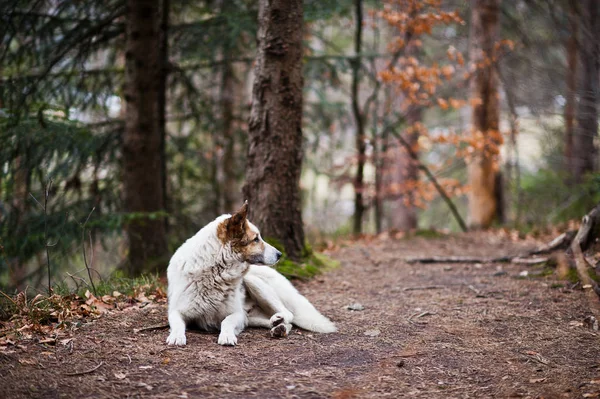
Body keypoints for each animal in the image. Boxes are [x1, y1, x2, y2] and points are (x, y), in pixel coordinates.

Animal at [166, 202, 336, 346]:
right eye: (256, 239)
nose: (280, 254)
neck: (215, 272)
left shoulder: (237, 314)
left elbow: (226, 321)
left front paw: (226, 336)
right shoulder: (176, 310)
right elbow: (177, 323)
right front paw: (176, 336)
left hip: (254, 283)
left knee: (289, 314)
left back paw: (278, 321)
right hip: (253, 313)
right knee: (282, 322)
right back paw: (278, 326)